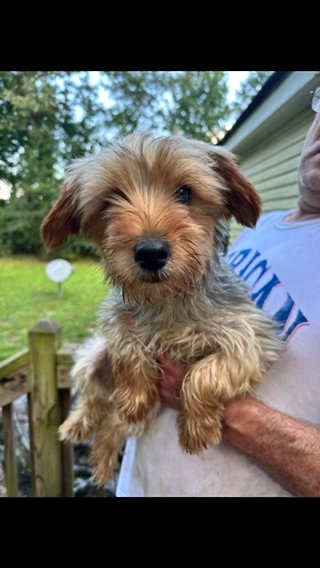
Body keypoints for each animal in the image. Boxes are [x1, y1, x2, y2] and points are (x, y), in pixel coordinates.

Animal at [40, 133, 282, 484]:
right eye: (110, 199)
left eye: (185, 193)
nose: (151, 253)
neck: (168, 301)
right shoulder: (117, 318)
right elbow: (128, 348)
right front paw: (134, 397)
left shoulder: (251, 339)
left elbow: (202, 375)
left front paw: (197, 428)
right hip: (92, 358)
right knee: (97, 400)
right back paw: (79, 424)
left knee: (113, 424)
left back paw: (101, 454)